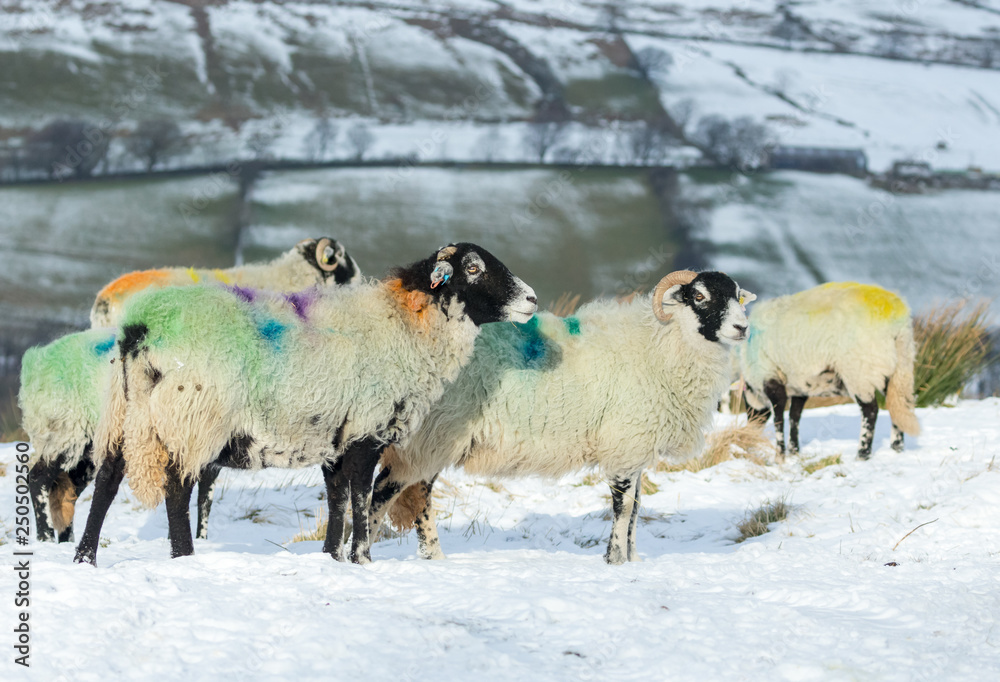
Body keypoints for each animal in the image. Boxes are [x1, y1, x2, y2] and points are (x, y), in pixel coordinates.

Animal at [368, 270, 756, 565]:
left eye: (738, 296)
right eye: (700, 297)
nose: (742, 328)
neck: (659, 345)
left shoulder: (636, 449)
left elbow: (636, 509)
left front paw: (632, 559)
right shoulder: (625, 445)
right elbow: (624, 508)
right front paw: (615, 560)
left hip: (432, 438)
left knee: (415, 493)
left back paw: (429, 557)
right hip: (432, 435)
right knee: (391, 491)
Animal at [739, 281, 920, 460]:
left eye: (747, 406)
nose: (751, 429)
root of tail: (897, 321)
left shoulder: (771, 377)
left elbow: (779, 419)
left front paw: (780, 455)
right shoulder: (799, 385)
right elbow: (794, 417)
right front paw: (794, 451)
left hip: (859, 370)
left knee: (870, 410)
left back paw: (862, 453)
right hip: (899, 366)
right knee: (898, 405)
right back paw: (896, 448)